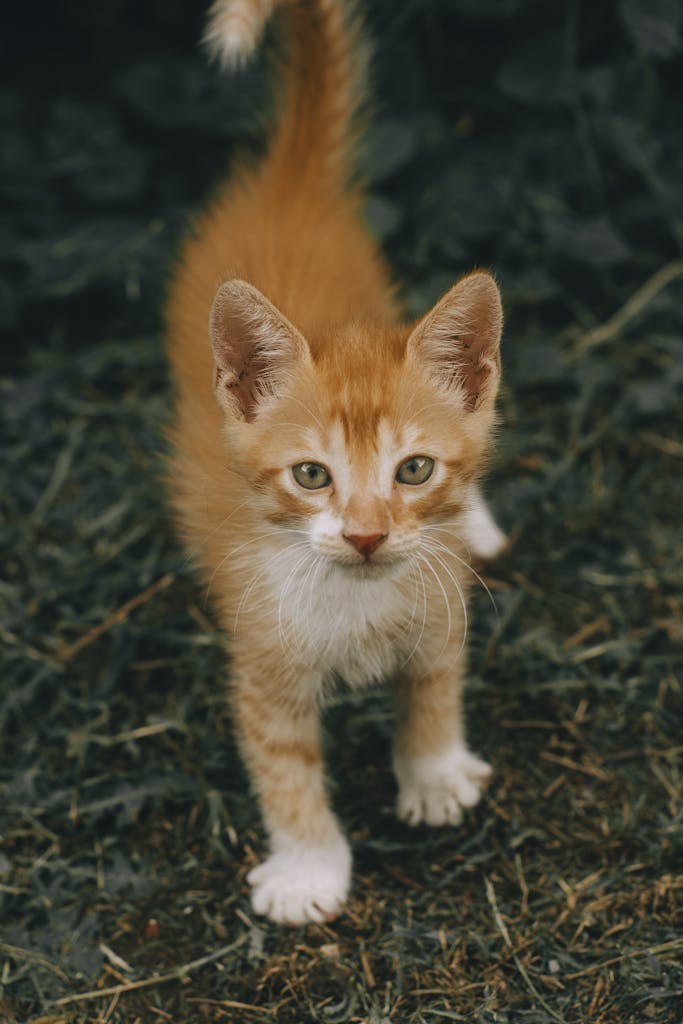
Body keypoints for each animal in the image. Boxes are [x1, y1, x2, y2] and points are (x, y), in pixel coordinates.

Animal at [165, 0, 507, 929]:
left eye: (414, 470)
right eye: (311, 476)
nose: (363, 536)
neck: (356, 599)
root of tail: (289, 181)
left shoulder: (438, 609)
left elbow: (433, 688)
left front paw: (433, 772)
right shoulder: (261, 665)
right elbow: (284, 771)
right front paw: (308, 870)